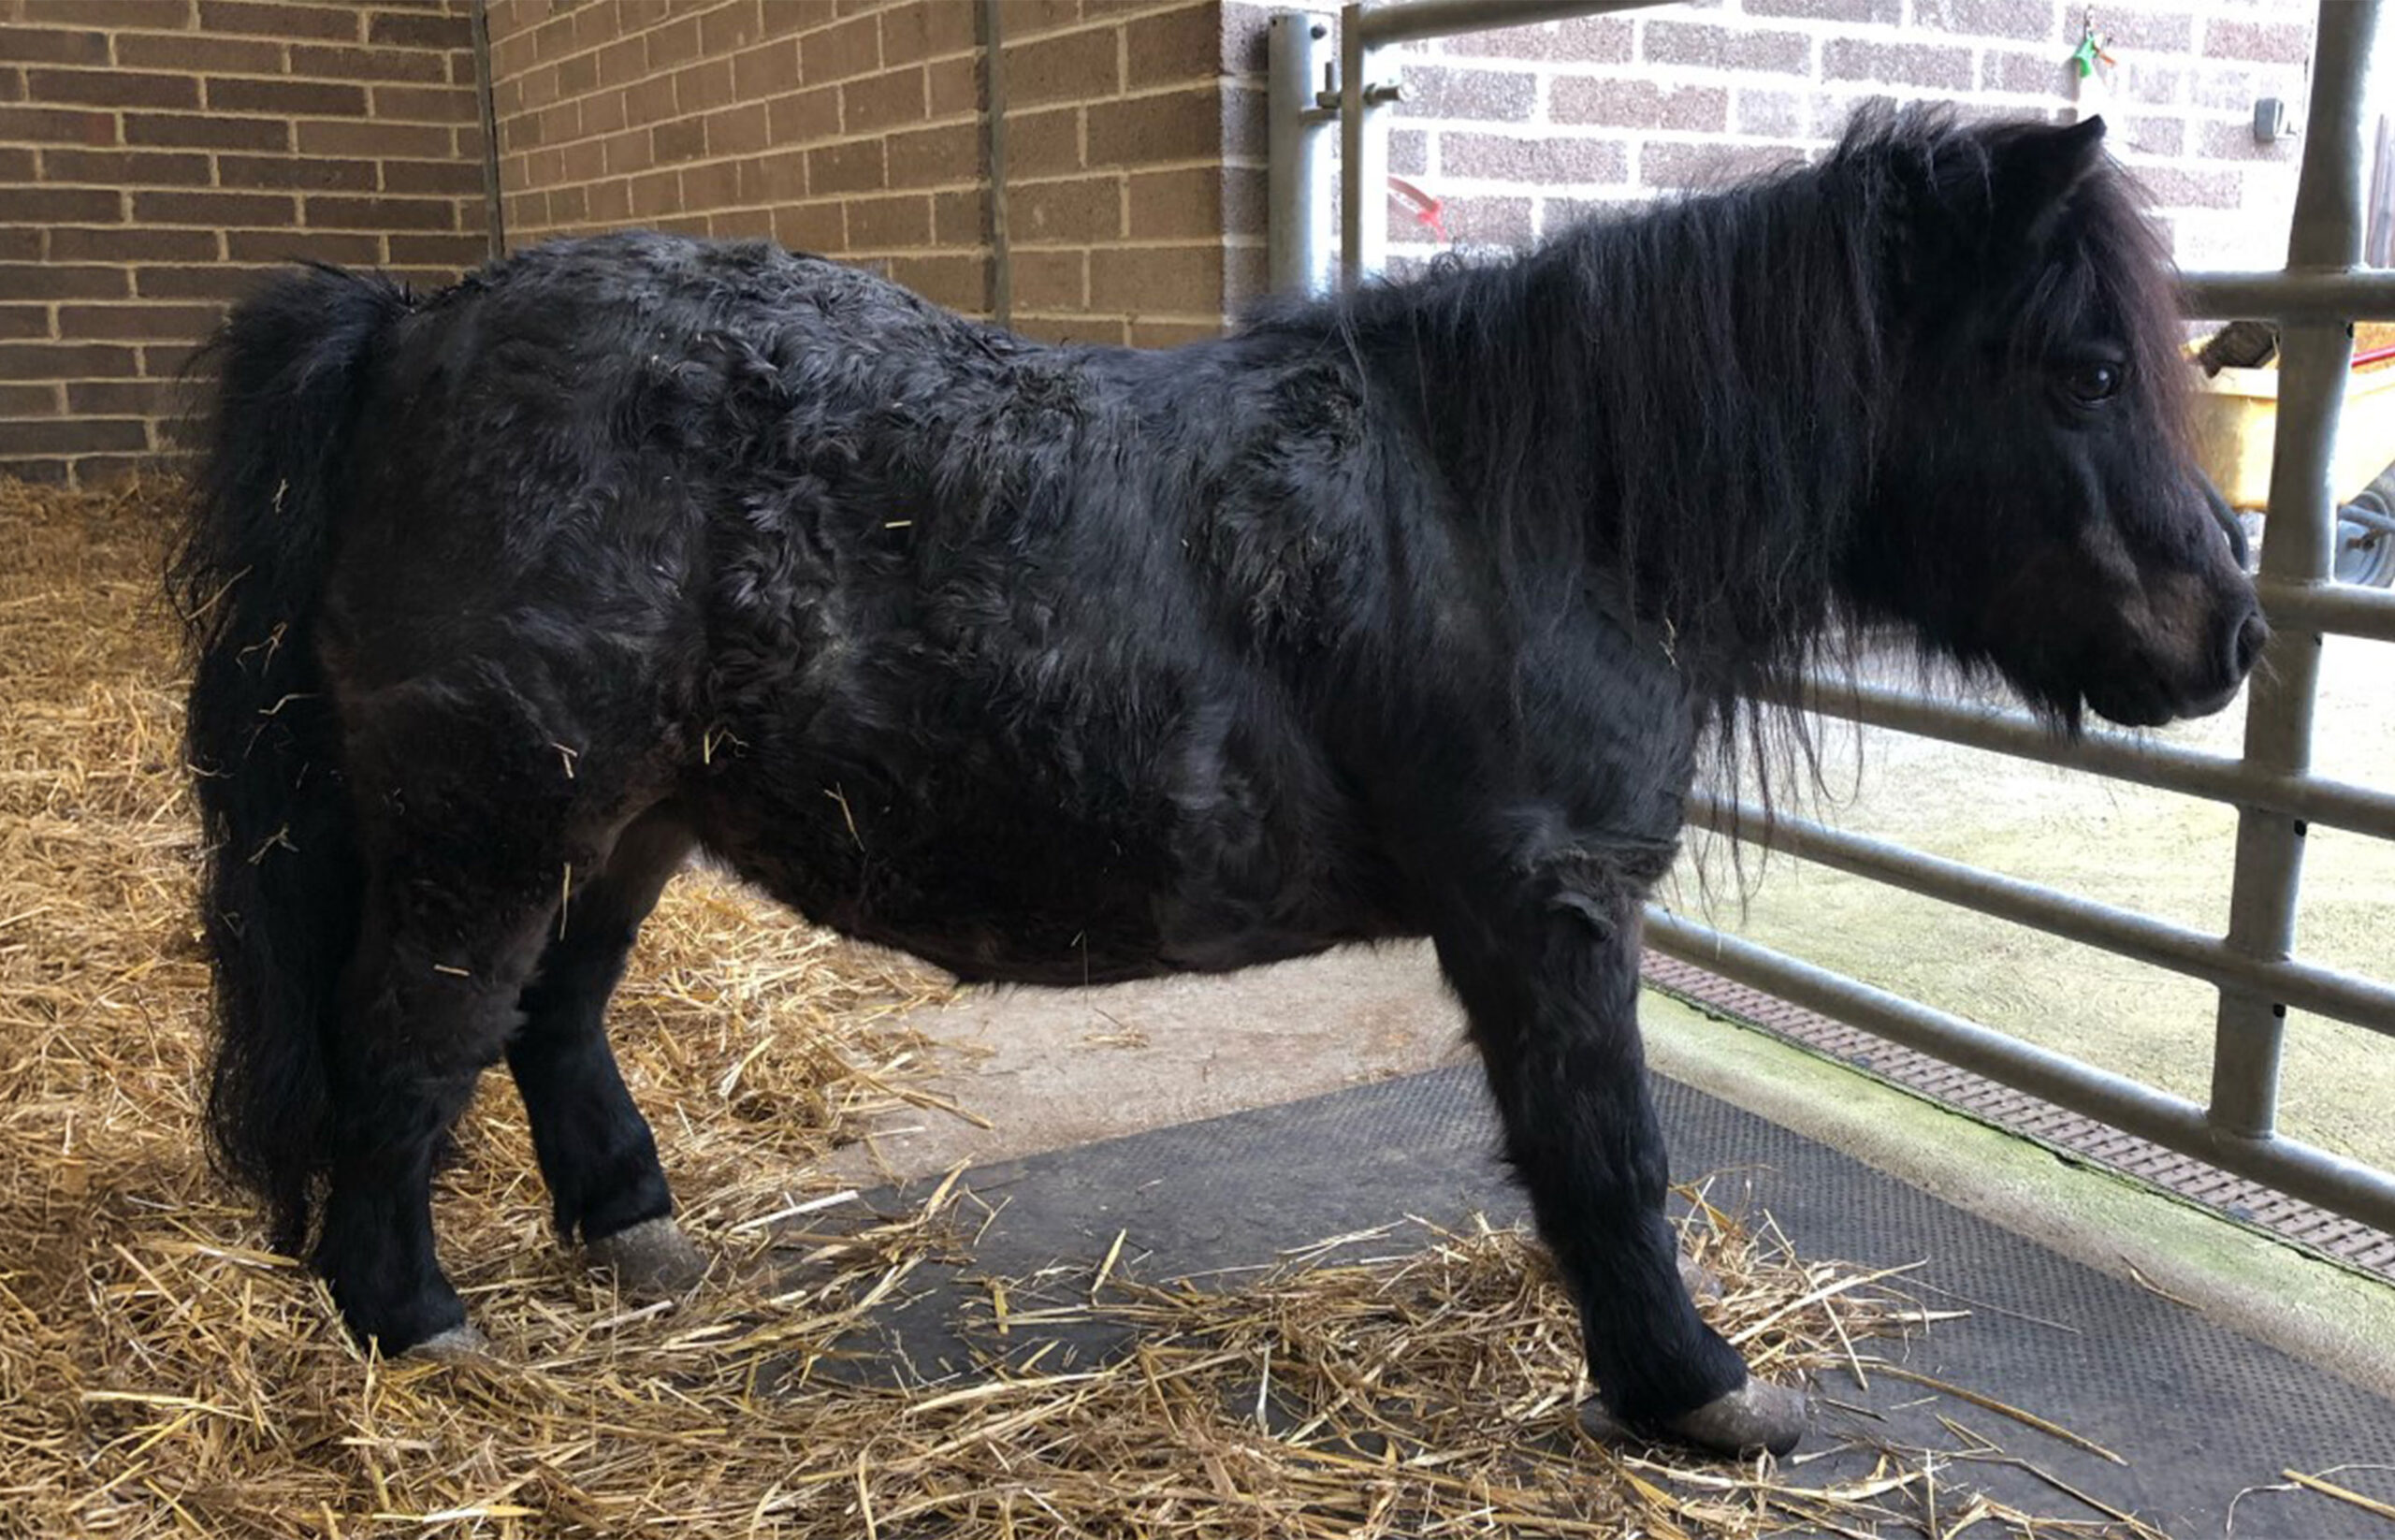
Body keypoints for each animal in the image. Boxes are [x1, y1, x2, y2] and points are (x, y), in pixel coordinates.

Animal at [171, 106, 2262, 1459]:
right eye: (2086, 370)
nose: (2227, 637)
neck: (1528, 501)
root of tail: (408, 324)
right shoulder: (1544, 909)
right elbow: (1607, 1158)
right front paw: (1690, 1386)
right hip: (494, 829)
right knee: (408, 1051)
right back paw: (411, 1320)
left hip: (622, 822)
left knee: (552, 1021)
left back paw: (629, 1227)